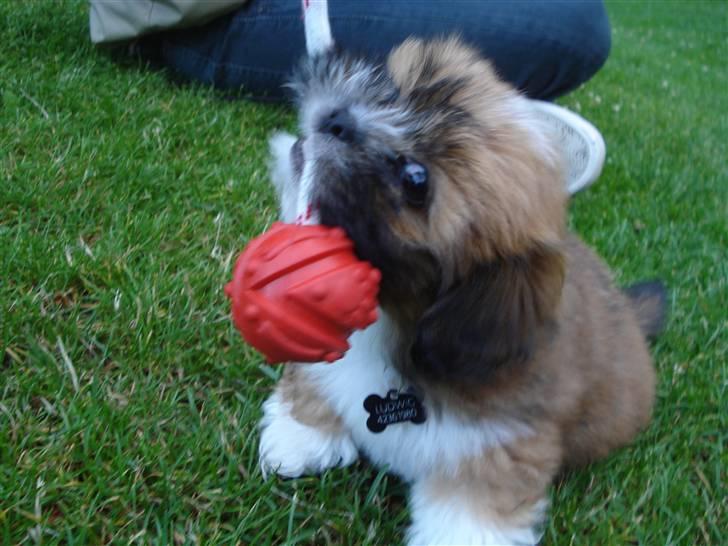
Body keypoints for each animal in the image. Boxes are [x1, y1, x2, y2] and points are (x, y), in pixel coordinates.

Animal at [258, 36, 664, 540]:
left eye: (416, 180)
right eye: (390, 87)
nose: (338, 118)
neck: (397, 318)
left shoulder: (503, 443)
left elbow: (472, 511)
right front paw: (301, 432)